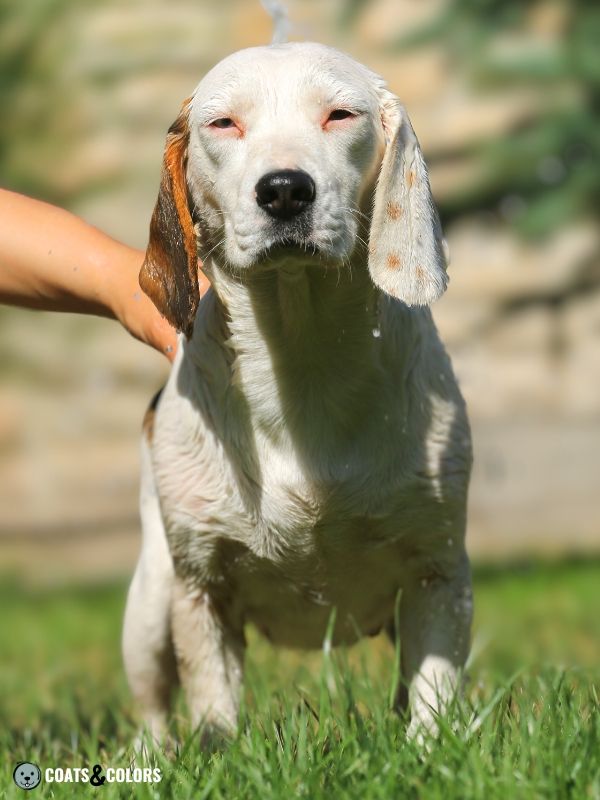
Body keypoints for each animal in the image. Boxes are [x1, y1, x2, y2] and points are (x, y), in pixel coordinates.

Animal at [123, 43, 474, 744]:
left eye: (340, 115)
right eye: (223, 123)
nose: (285, 189)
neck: (302, 361)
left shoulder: (439, 571)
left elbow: (433, 697)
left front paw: (430, 751)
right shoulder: (201, 587)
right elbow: (213, 708)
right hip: (148, 606)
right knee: (152, 708)